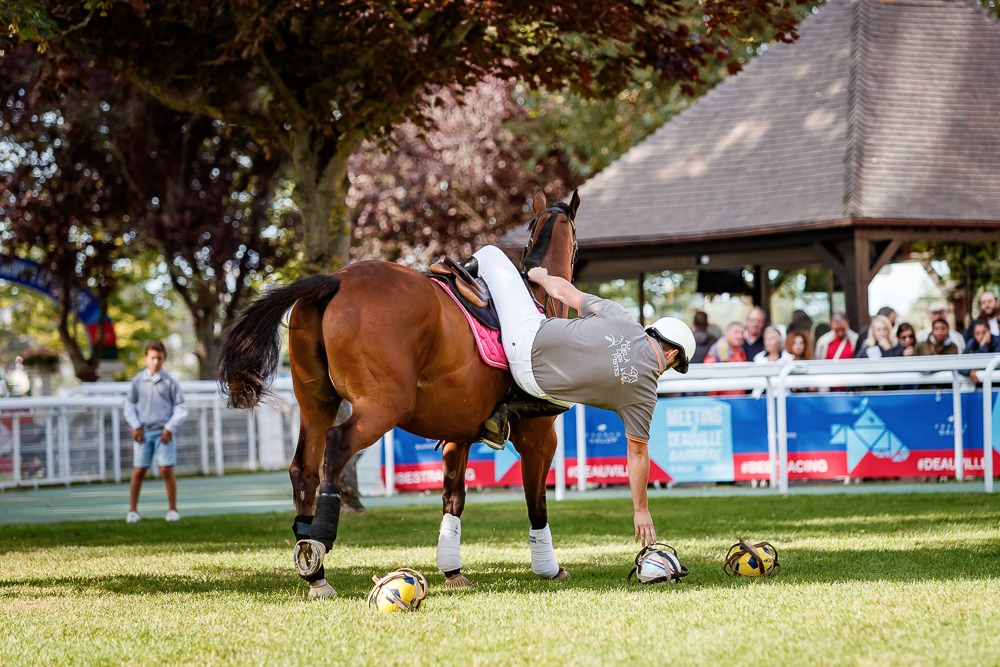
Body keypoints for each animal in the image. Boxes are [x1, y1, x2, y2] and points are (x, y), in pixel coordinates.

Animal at [219, 189, 580, 600]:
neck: (535, 297)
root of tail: (336, 279)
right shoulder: (539, 436)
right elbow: (536, 501)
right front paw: (548, 567)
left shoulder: (458, 436)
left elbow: (453, 498)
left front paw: (452, 569)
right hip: (382, 406)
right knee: (337, 446)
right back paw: (320, 541)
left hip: (316, 403)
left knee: (304, 470)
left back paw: (314, 569)